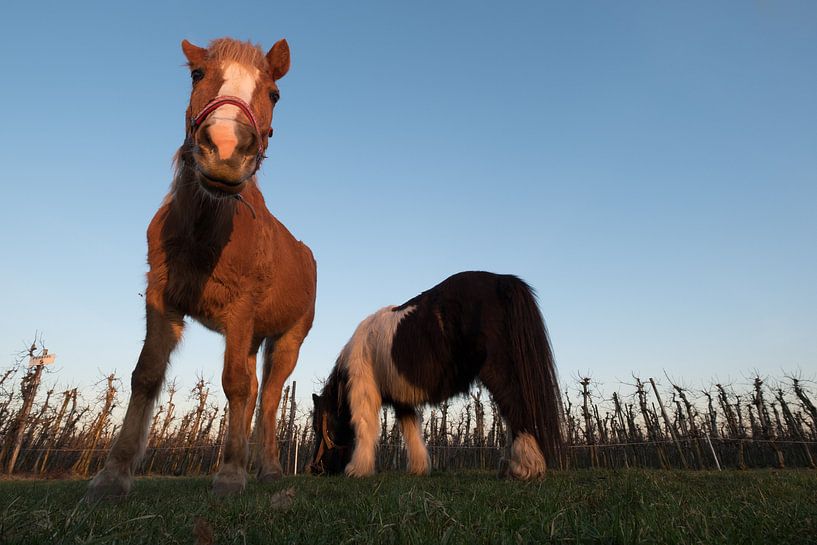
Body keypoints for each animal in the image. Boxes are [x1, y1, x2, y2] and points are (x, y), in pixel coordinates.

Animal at [86, 37, 317, 500]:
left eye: (274, 94)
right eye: (197, 75)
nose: (226, 147)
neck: (203, 231)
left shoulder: (242, 307)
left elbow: (235, 385)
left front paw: (229, 476)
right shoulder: (162, 298)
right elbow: (147, 374)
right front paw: (113, 476)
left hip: (287, 339)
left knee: (268, 397)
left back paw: (268, 470)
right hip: (252, 337)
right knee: (253, 391)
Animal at [309, 271, 563, 480]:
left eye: (319, 427)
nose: (315, 469)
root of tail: (501, 280)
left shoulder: (365, 393)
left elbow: (364, 427)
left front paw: (358, 469)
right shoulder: (402, 402)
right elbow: (411, 431)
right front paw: (418, 468)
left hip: (497, 371)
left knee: (515, 408)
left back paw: (525, 468)